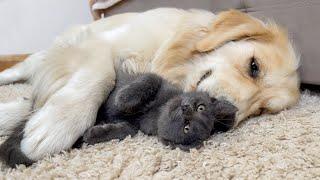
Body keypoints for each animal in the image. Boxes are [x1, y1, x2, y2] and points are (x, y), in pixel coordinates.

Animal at [82, 71, 238, 150]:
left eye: (186, 127)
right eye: (201, 107)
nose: (185, 108)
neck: (156, 110)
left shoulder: (135, 125)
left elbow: (128, 130)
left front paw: (93, 134)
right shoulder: (159, 80)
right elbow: (151, 78)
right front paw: (124, 98)